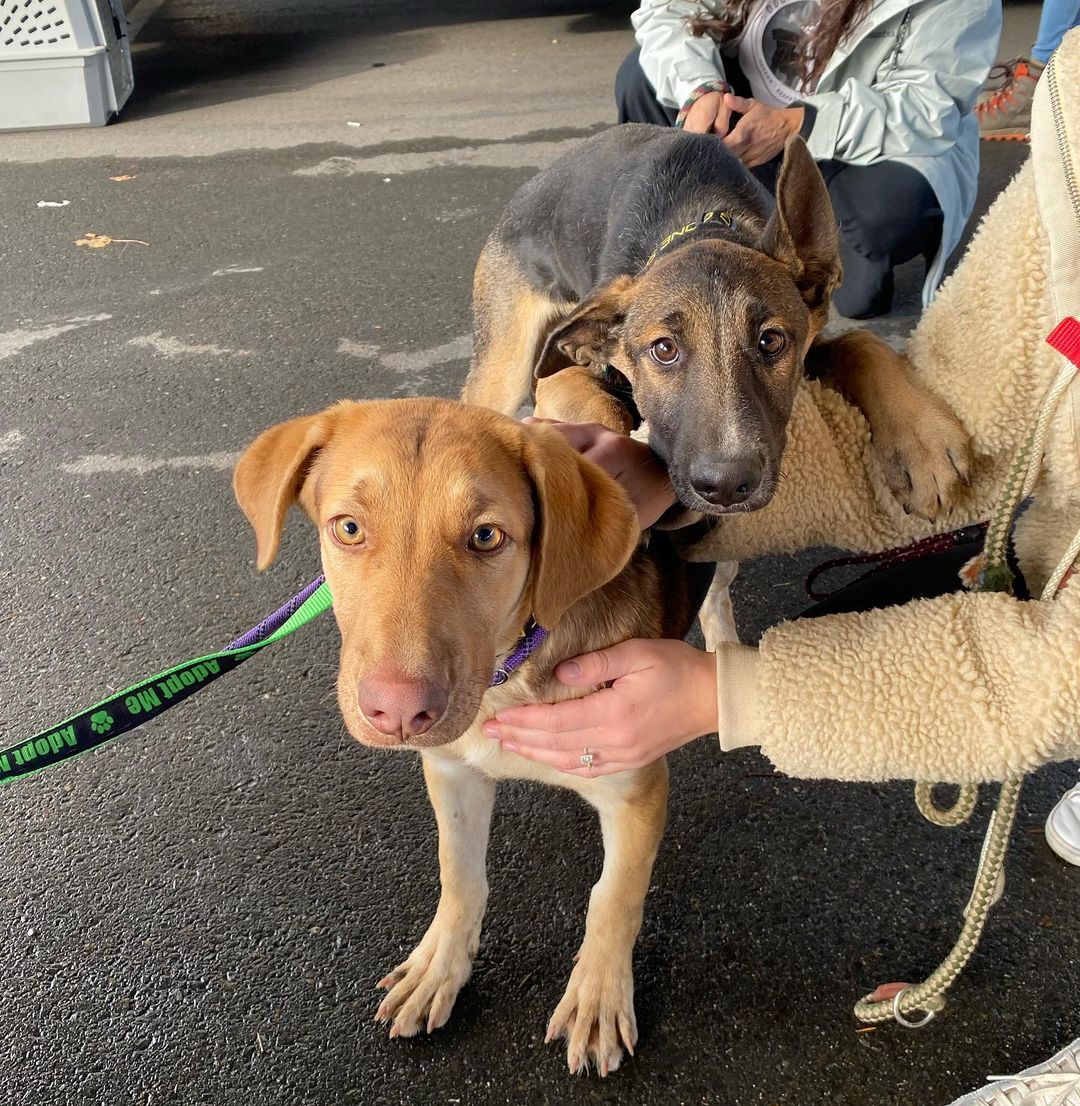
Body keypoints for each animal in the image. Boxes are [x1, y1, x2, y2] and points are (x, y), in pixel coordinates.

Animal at [236, 400, 708, 1079]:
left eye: (487, 537)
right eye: (348, 528)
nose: (397, 713)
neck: (508, 679)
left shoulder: (636, 786)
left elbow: (614, 899)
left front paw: (597, 997)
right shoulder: (452, 771)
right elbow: (458, 874)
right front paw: (441, 967)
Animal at [464, 125, 969, 517]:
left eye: (771, 341)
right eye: (663, 349)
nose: (726, 487)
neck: (702, 219)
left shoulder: (812, 334)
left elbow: (859, 343)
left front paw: (921, 444)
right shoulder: (569, 372)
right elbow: (600, 409)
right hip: (505, 367)